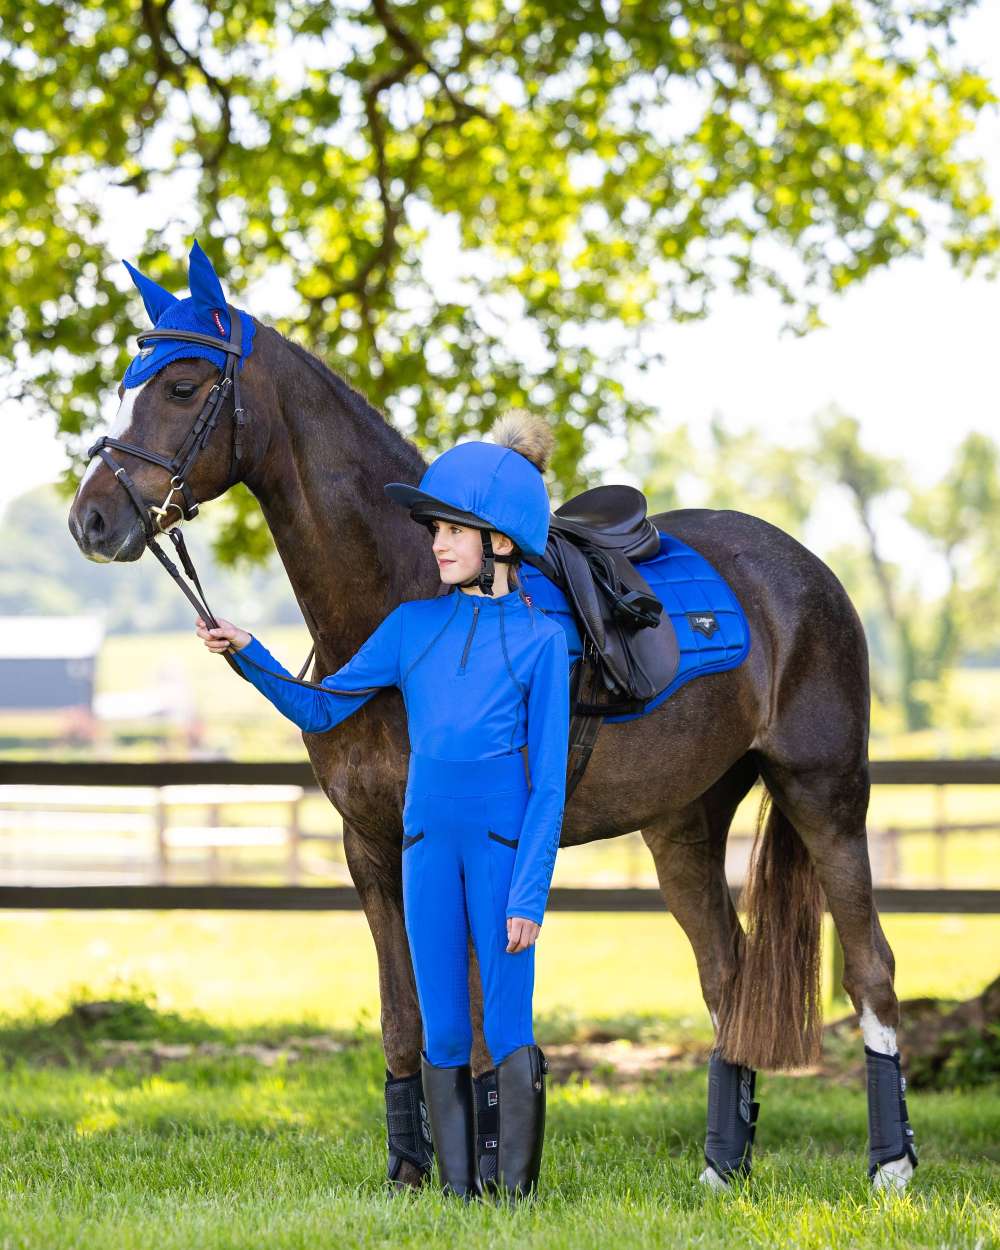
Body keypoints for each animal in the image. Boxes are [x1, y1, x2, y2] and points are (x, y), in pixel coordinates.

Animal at [68, 266, 915, 1190]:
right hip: (684, 826)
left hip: (824, 793)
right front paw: (409, 1175)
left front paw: (481, 1175)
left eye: (183, 388)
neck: (407, 600)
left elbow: (475, 1029)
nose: (91, 520)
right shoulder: (372, 849)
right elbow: (404, 1020)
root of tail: (806, 571)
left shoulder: (470, 848)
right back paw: (721, 1169)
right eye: (128, 386)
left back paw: (891, 1168)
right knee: (726, 975)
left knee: (871, 969)